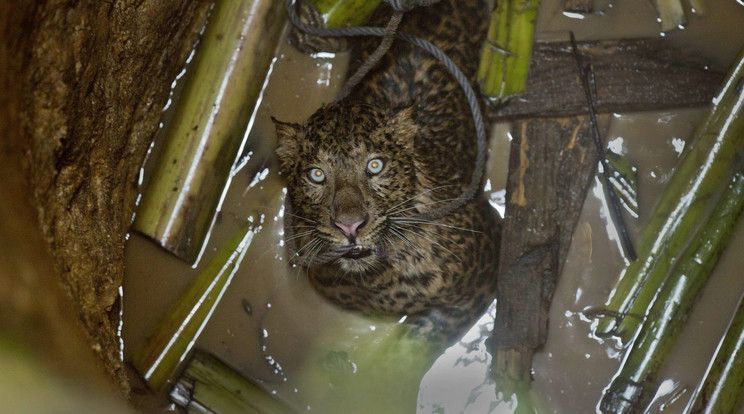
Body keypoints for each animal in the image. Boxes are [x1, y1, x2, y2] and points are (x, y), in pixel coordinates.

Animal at [274, 0, 500, 342]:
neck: (376, 280)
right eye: (316, 174)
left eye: (375, 165)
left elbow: (437, 329)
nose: (350, 226)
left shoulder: (489, 260)